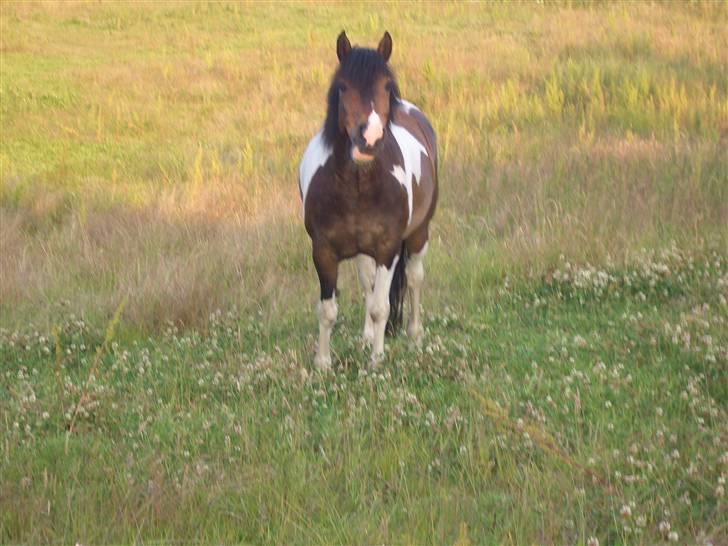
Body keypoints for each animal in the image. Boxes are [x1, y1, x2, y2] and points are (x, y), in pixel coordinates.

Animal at [298, 30, 438, 370]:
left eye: (387, 86)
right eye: (343, 86)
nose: (369, 140)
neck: (358, 186)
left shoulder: (388, 249)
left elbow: (381, 307)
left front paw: (376, 361)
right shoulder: (323, 251)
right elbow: (328, 310)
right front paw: (323, 363)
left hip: (418, 235)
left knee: (414, 279)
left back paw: (414, 337)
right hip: (363, 252)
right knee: (367, 283)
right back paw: (366, 337)